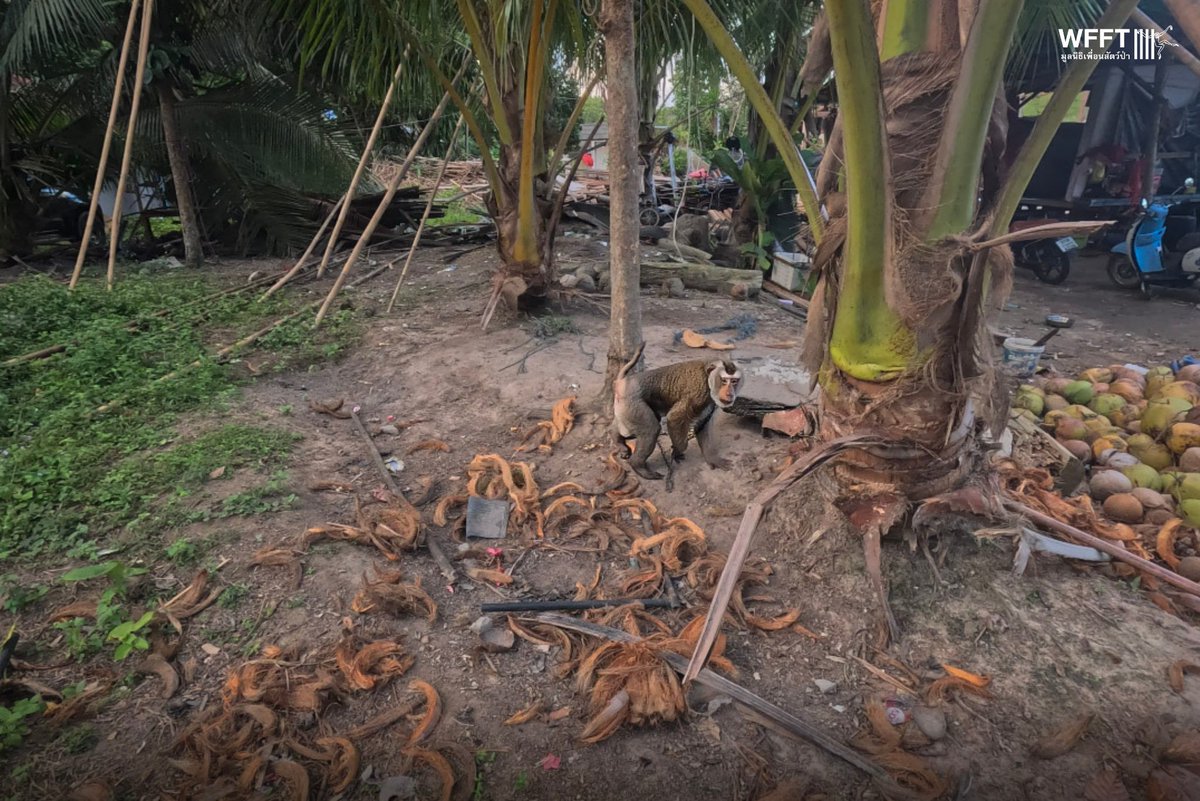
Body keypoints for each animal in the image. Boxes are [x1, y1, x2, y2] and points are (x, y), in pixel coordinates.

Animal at [611, 342, 741, 480]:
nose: (730, 393)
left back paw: (617, 440)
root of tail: (622, 383)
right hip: (632, 402)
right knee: (651, 429)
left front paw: (712, 458)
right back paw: (638, 465)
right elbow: (674, 418)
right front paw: (678, 450)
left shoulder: (709, 400)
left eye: (734, 381)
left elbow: (701, 425)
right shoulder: (699, 393)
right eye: (724, 381)